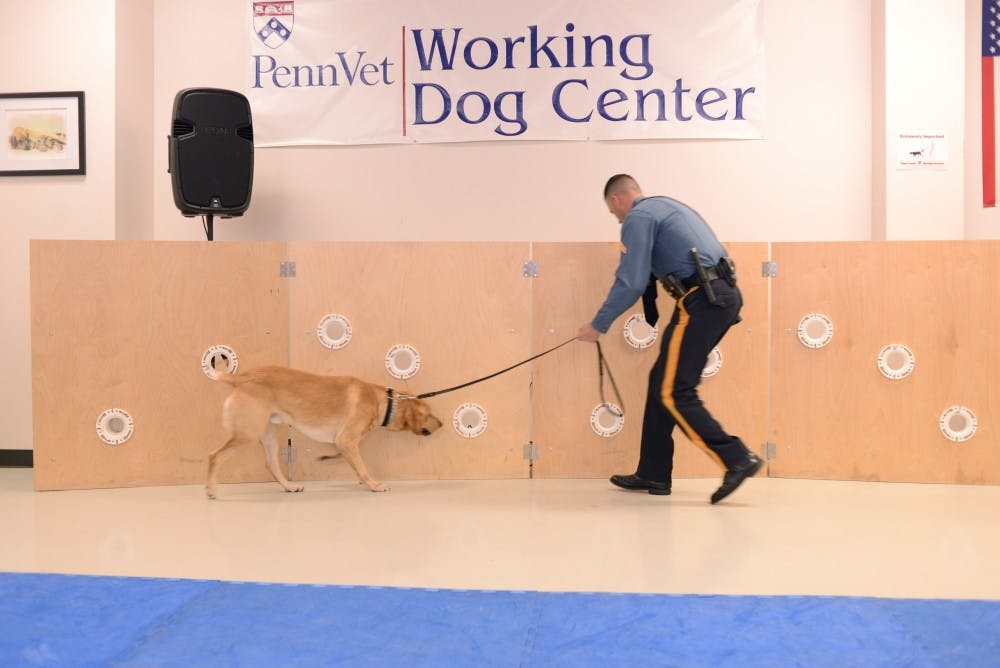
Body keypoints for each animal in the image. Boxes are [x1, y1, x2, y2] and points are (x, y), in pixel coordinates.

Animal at [206, 366, 442, 500]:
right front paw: (374, 485)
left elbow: (355, 466)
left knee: (271, 464)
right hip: (248, 434)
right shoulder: (346, 441)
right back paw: (211, 490)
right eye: (429, 413)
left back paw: (289, 487)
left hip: (268, 435)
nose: (441, 423)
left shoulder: (347, 445)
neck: (382, 402)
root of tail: (241, 378)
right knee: (215, 455)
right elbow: (363, 468)